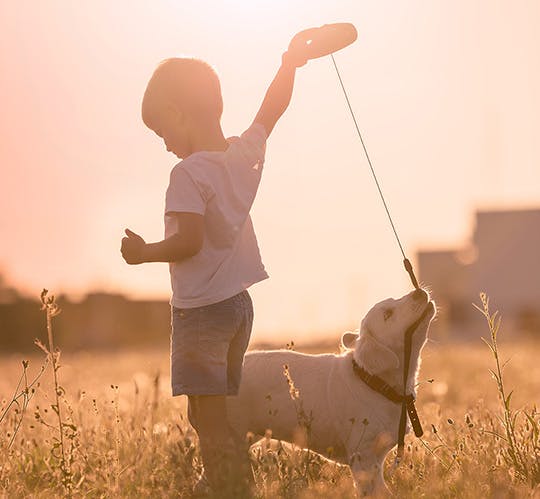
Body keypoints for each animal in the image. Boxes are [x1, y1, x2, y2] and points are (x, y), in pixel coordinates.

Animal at [226, 290, 436, 496]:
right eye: (388, 314)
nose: (419, 291)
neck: (374, 380)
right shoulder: (363, 455)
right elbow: (372, 491)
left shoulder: (376, 456)